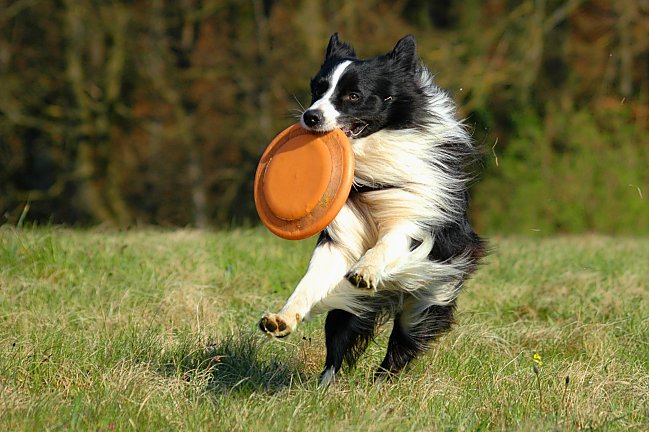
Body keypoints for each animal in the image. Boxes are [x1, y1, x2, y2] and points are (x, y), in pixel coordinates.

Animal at [258, 33, 486, 384]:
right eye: (317, 90)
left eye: (353, 95)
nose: (310, 116)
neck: (370, 161)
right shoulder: (340, 236)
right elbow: (312, 278)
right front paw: (283, 317)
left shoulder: (418, 217)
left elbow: (391, 240)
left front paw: (365, 269)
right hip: (350, 312)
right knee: (338, 337)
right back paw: (325, 386)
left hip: (424, 303)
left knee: (402, 342)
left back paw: (383, 382)